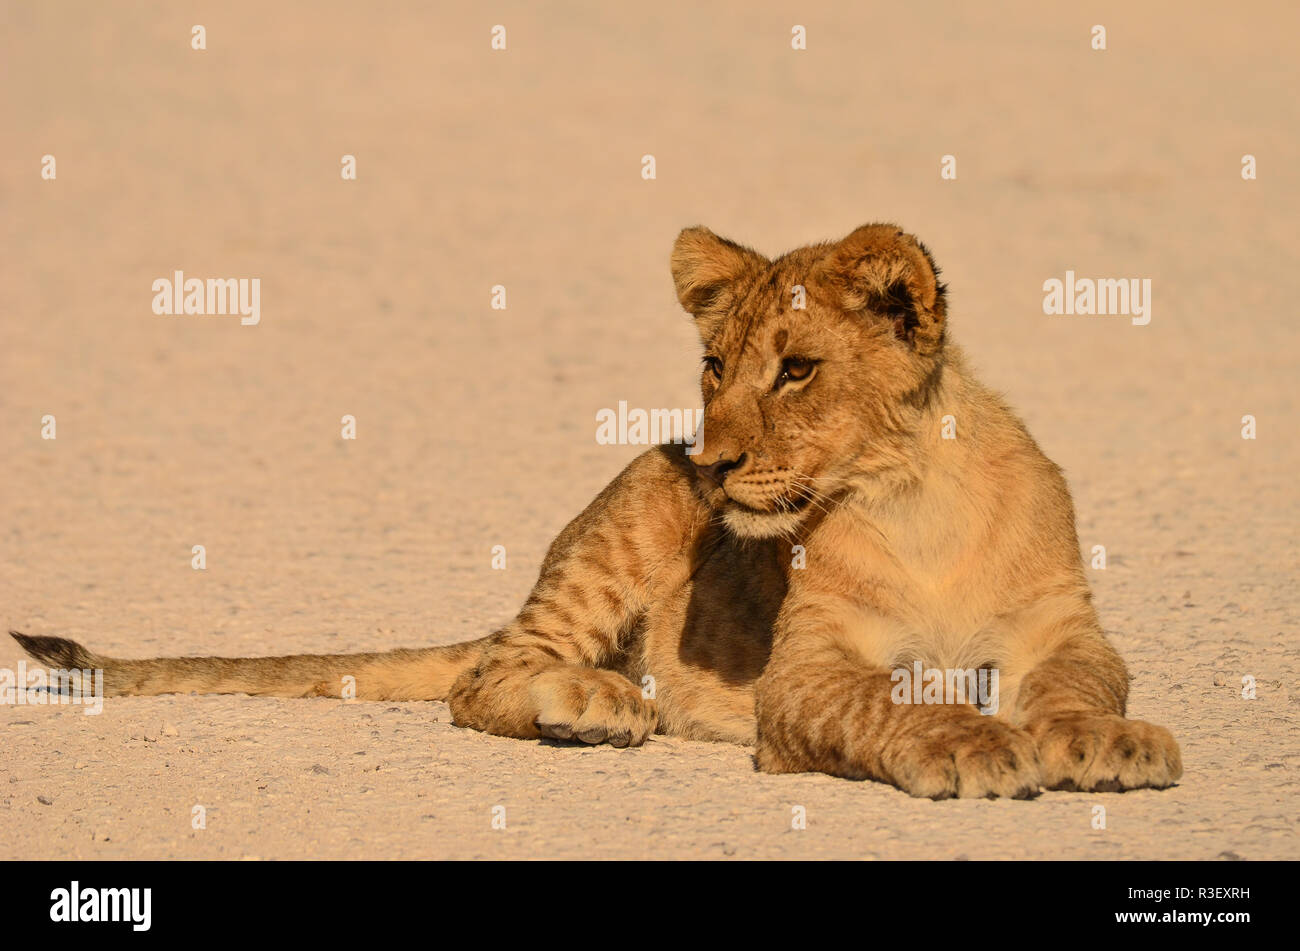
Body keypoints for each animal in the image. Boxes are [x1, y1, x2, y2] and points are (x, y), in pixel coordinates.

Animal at [11, 223, 1182, 798]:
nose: (716, 464)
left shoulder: (1065, 626)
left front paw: (1102, 742)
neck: (909, 497)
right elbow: (880, 699)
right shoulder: (803, 673)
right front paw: (967, 746)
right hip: (623, 519)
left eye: (797, 369)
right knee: (487, 675)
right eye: (714, 366)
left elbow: (1079, 684)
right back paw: (595, 703)